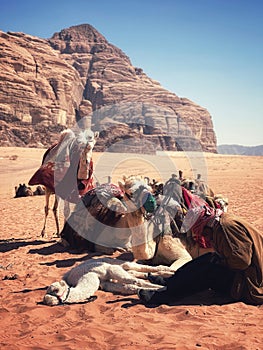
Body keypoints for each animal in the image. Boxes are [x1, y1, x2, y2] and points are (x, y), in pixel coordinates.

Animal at [43, 256, 173, 304]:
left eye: (55, 290)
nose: (46, 299)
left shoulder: (108, 269)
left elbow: (135, 281)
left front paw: (163, 288)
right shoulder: (105, 283)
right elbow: (130, 286)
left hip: (114, 263)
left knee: (132, 266)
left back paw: (169, 271)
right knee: (134, 271)